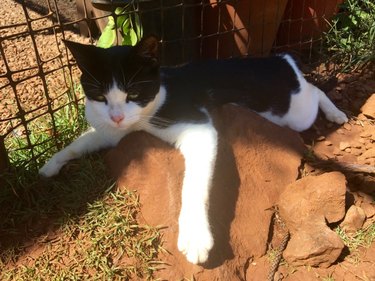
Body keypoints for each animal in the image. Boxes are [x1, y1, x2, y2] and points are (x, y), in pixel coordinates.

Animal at [39, 35, 348, 264]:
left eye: (134, 94)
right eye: (100, 96)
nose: (116, 116)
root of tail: (280, 59)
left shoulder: (199, 127)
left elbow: (195, 183)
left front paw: (195, 237)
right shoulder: (111, 131)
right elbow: (81, 142)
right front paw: (50, 165)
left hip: (294, 113)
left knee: (315, 91)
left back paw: (336, 113)